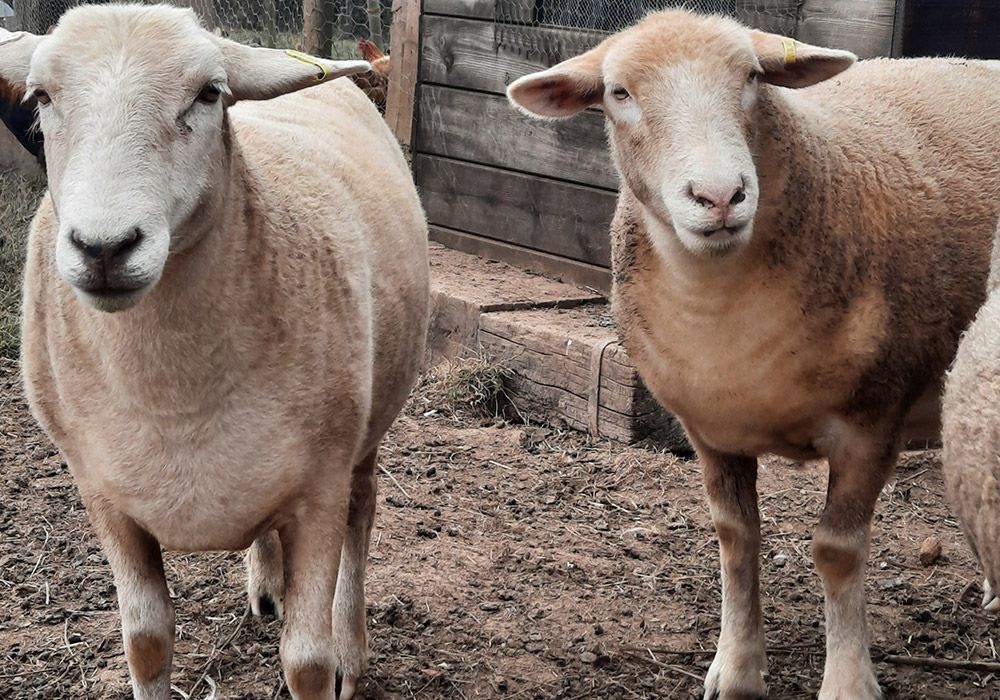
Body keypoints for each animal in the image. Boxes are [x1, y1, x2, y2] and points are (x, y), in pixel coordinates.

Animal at [1, 5, 429, 699]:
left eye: (208, 94)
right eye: (41, 97)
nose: (104, 248)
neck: (177, 398)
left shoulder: (320, 489)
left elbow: (306, 662)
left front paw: (329, 658)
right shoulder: (103, 493)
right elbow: (146, 643)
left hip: (368, 428)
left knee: (362, 515)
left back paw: (352, 646)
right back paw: (267, 584)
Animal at [508, 10, 1000, 699]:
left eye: (751, 78)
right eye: (619, 93)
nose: (719, 196)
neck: (721, 305)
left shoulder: (874, 422)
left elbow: (837, 551)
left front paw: (847, 680)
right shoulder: (711, 429)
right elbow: (737, 540)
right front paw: (737, 668)